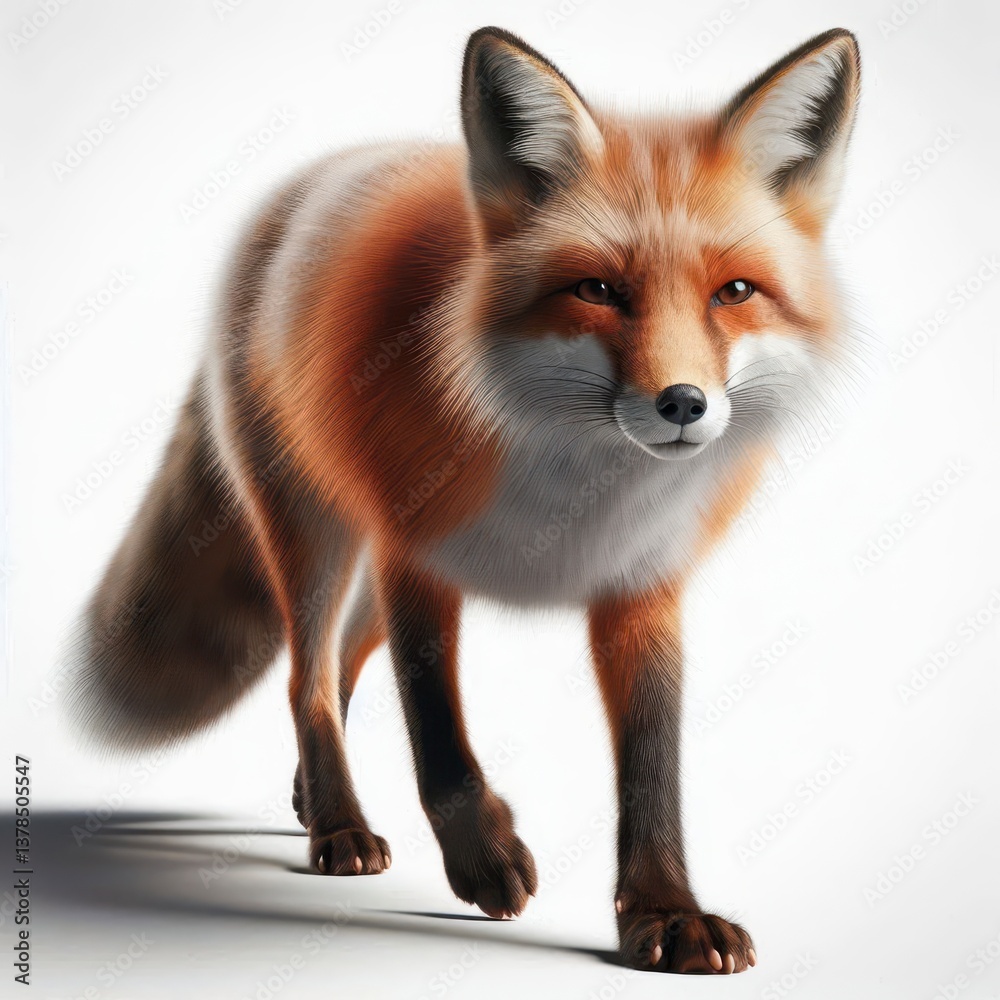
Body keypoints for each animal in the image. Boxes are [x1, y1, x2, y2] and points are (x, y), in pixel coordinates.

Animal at [70, 26, 861, 975]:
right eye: (597, 290)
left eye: (734, 292)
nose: (682, 404)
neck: (572, 483)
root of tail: (305, 181)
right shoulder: (418, 557)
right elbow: (438, 735)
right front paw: (482, 857)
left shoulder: (640, 586)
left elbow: (652, 767)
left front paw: (664, 911)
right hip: (315, 529)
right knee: (306, 676)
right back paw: (338, 824)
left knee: (339, 662)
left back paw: (310, 797)